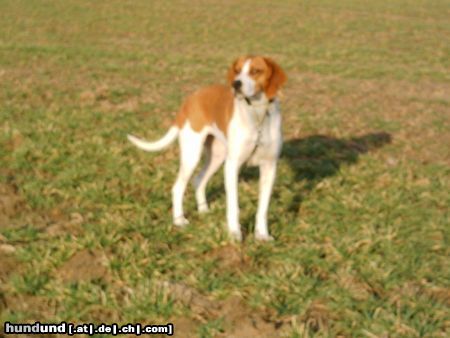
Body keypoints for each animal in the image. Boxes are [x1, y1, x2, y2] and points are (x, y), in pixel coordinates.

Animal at [128, 55, 286, 240]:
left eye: (256, 71)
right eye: (237, 70)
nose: (236, 84)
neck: (257, 115)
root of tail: (190, 98)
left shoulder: (269, 167)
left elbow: (262, 209)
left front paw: (262, 235)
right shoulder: (232, 166)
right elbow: (233, 206)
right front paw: (234, 234)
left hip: (217, 157)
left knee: (199, 180)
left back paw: (203, 210)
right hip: (192, 155)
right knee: (178, 187)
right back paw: (179, 220)